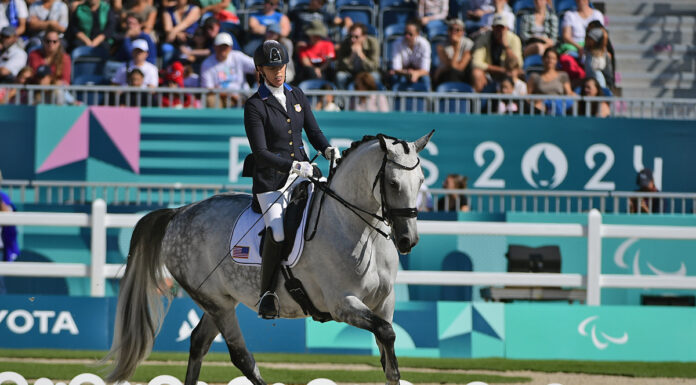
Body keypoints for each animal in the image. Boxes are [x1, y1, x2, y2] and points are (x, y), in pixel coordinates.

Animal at [105, 131, 432, 384]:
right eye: (393, 183)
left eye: (420, 181)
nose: (408, 240)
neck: (358, 230)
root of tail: (179, 213)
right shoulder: (343, 305)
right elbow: (387, 334)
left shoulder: (384, 302)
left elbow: (388, 354)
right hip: (216, 302)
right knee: (241, 357)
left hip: (222, 301)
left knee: (198, 342)